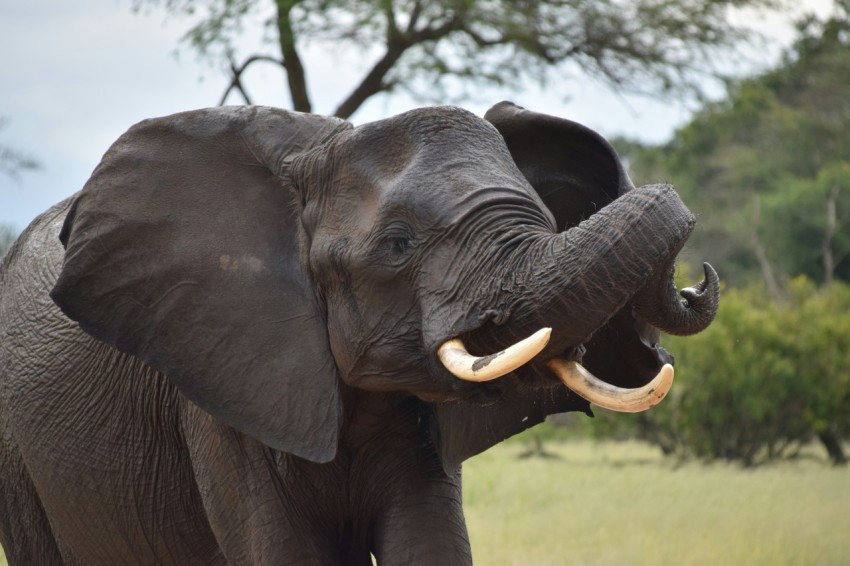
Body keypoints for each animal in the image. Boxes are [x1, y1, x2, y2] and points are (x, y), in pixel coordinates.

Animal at [0, 102, 718, 564]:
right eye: (397, 245)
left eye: (549, 217)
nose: (696, 282)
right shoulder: (218, 384)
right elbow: (281, 550)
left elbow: (428, 543)